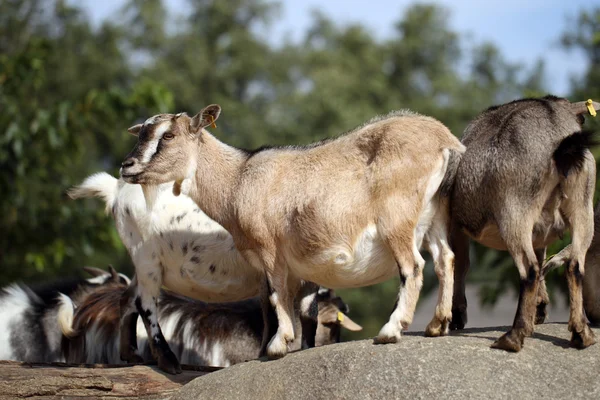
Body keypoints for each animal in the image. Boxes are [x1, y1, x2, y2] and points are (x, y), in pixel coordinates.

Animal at [117, 104, 464, 368]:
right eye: (142, 134)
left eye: (168, 135)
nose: (127, 166)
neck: (238, 180)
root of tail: (446, 142)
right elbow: (295, 305)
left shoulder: (270, 250)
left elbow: (276, 295)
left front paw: (277, 346)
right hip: (436, 215)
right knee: (446, 259)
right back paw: (437, 325)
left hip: (398, 218)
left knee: (414, 266)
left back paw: (391, 330)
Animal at [452, 95, 596, 352]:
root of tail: (558, 141)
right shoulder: (541, 234)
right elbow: (542, 258)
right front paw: (539, 308)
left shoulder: (455, 223)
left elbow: (461, 263)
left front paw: (456, 316)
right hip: (583, 204)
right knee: (574, 265)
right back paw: (581, 333)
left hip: (514, 211)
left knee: (529, 270)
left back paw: (513, 337)